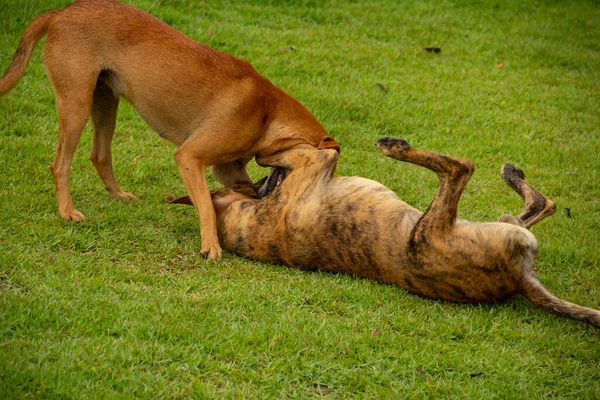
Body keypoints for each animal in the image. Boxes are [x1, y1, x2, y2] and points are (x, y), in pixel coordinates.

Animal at [0, 0, 338, 260]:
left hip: (105, 103)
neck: (267, 110)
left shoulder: (226, 168)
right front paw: (210, 246)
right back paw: (67, 212)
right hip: (76, 106)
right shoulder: (189, 157)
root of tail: (61, 12)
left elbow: (232, 192)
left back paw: (117, 195)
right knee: (60, 164)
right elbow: (205, 205)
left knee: (99, 155)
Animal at [168, 138, 600, 328]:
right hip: (429, 232)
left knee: (539, 204)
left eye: (254, 185)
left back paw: (513, 176)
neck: (243, 227)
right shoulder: (315, 161)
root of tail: (518, 281)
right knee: (462, 168)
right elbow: (288, 151)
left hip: (498, 221)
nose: (265, 182)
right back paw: (397, 148)